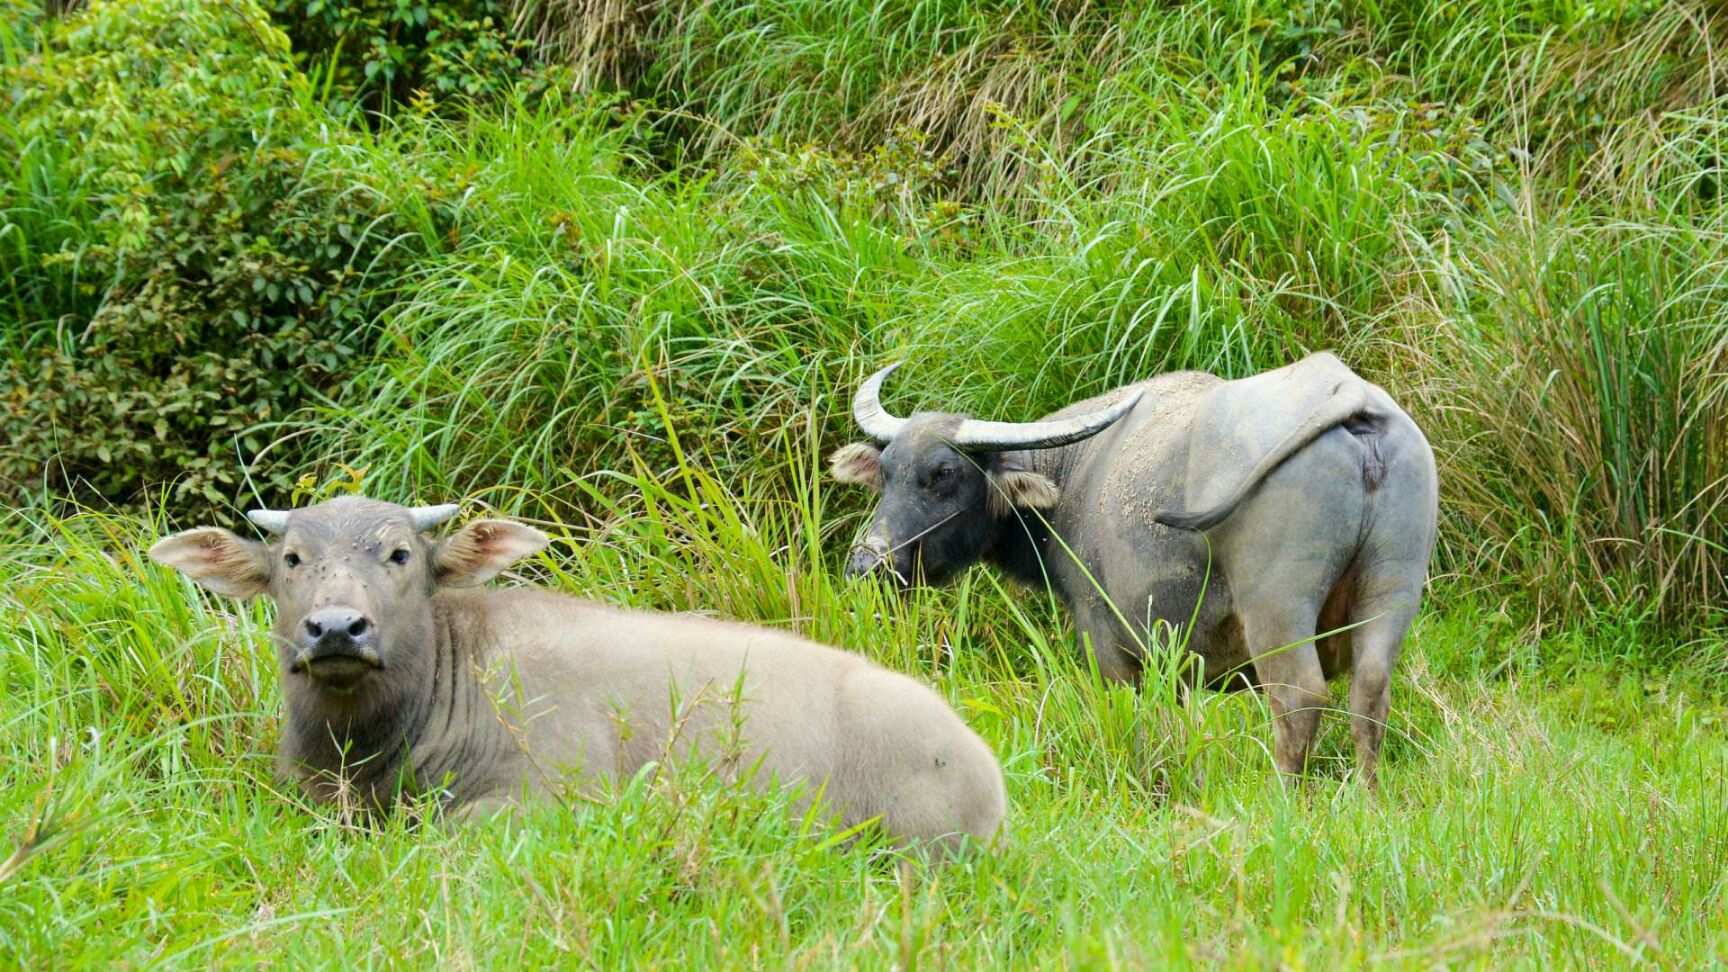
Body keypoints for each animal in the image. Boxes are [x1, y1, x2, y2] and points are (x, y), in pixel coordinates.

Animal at [829, 351, 1437, 781]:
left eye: (943, 474)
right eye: (887, 469)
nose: (868, 563)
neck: (1072, 474)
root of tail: (1346, 391)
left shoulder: (1108, 643)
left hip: (1278, 606)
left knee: (1299, 698)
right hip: (1393, 588)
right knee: (1370, 692)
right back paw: (1365, 797)